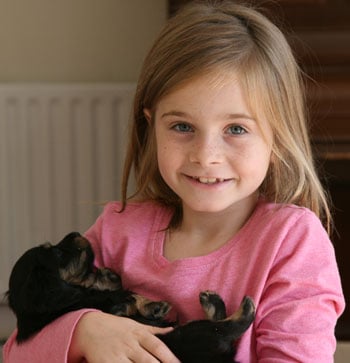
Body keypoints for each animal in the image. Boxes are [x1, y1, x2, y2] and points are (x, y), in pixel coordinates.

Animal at [7, 232, 254, 362]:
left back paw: (212, 301)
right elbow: (123, 298)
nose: (76, 234)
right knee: (226, 327)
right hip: (192, 335)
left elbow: (129, 294)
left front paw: (110, 277)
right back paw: (242, 307)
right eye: (57, 252)